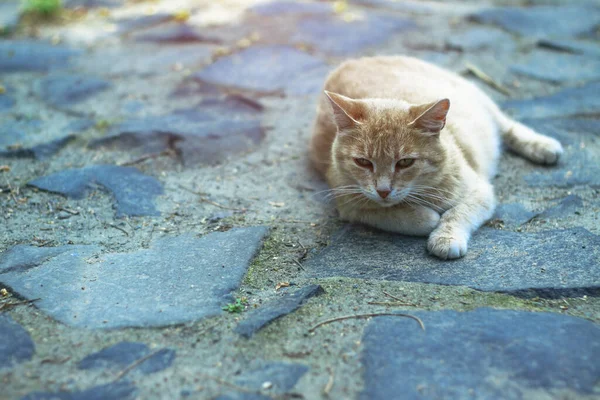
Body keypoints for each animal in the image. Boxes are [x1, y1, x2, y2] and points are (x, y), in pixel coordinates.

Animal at [310, 56, 564, 260]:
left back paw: (541, 145)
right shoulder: (348, 203)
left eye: (405, 162)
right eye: (363, 162)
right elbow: (393, 214)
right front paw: (425, 218)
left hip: (480, 101)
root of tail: (358, 60)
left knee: (507, 125)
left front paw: (445, 237)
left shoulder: (481, 191)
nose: (383, 191)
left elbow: (456, 213)